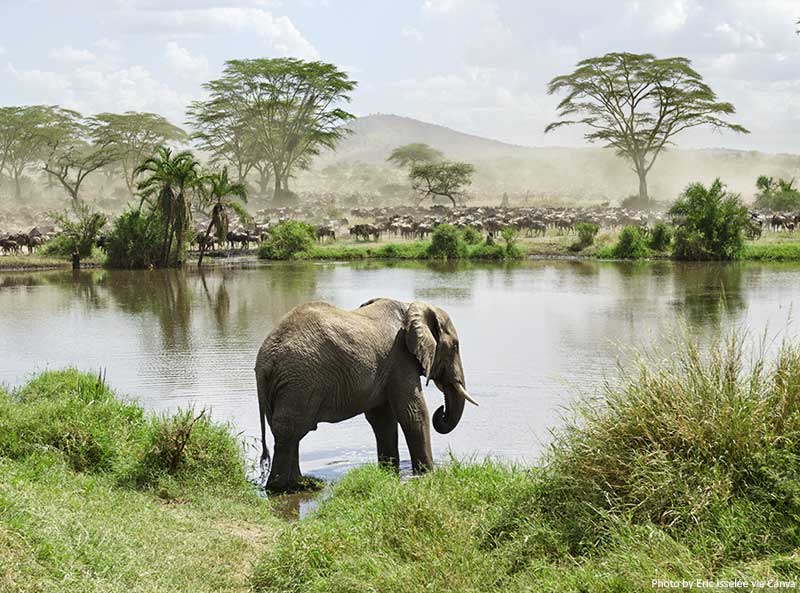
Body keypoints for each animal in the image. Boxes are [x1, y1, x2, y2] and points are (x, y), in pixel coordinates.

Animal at [255, 298, 476, 492]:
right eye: (455, 347)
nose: (442, 411)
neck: (411, 307)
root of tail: (265, 361)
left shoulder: (387, 366)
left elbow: (382, 419)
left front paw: (389, 473)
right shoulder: (400, 358)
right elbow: (413, 413)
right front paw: (427, 475)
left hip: (288, 386)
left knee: (290, 432)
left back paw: (301, 484)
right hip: (300, 380)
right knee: (290, 430)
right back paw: (281, 487)